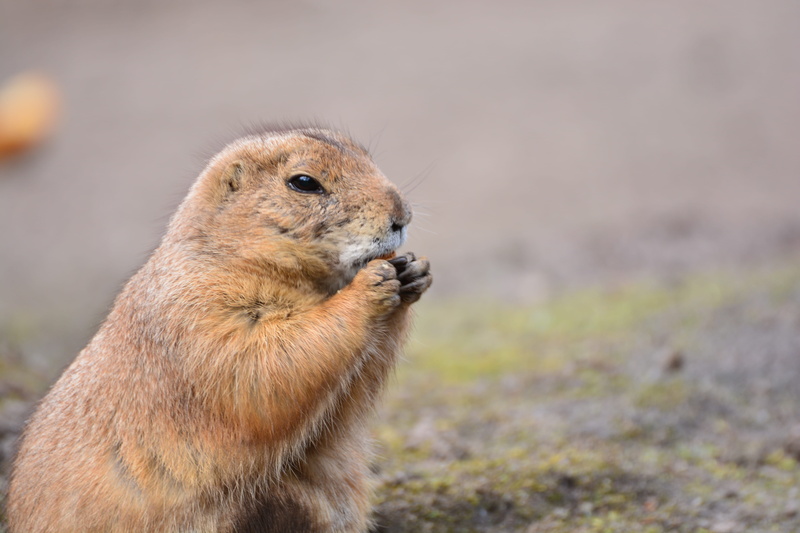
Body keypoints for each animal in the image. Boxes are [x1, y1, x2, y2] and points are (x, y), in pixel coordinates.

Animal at [6, 127, 432, 532]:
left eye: (366, 156)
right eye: (304, 182)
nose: (402, 215)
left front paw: (412, 269)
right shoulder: (196, 308)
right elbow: (256, 368)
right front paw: (372, 282)